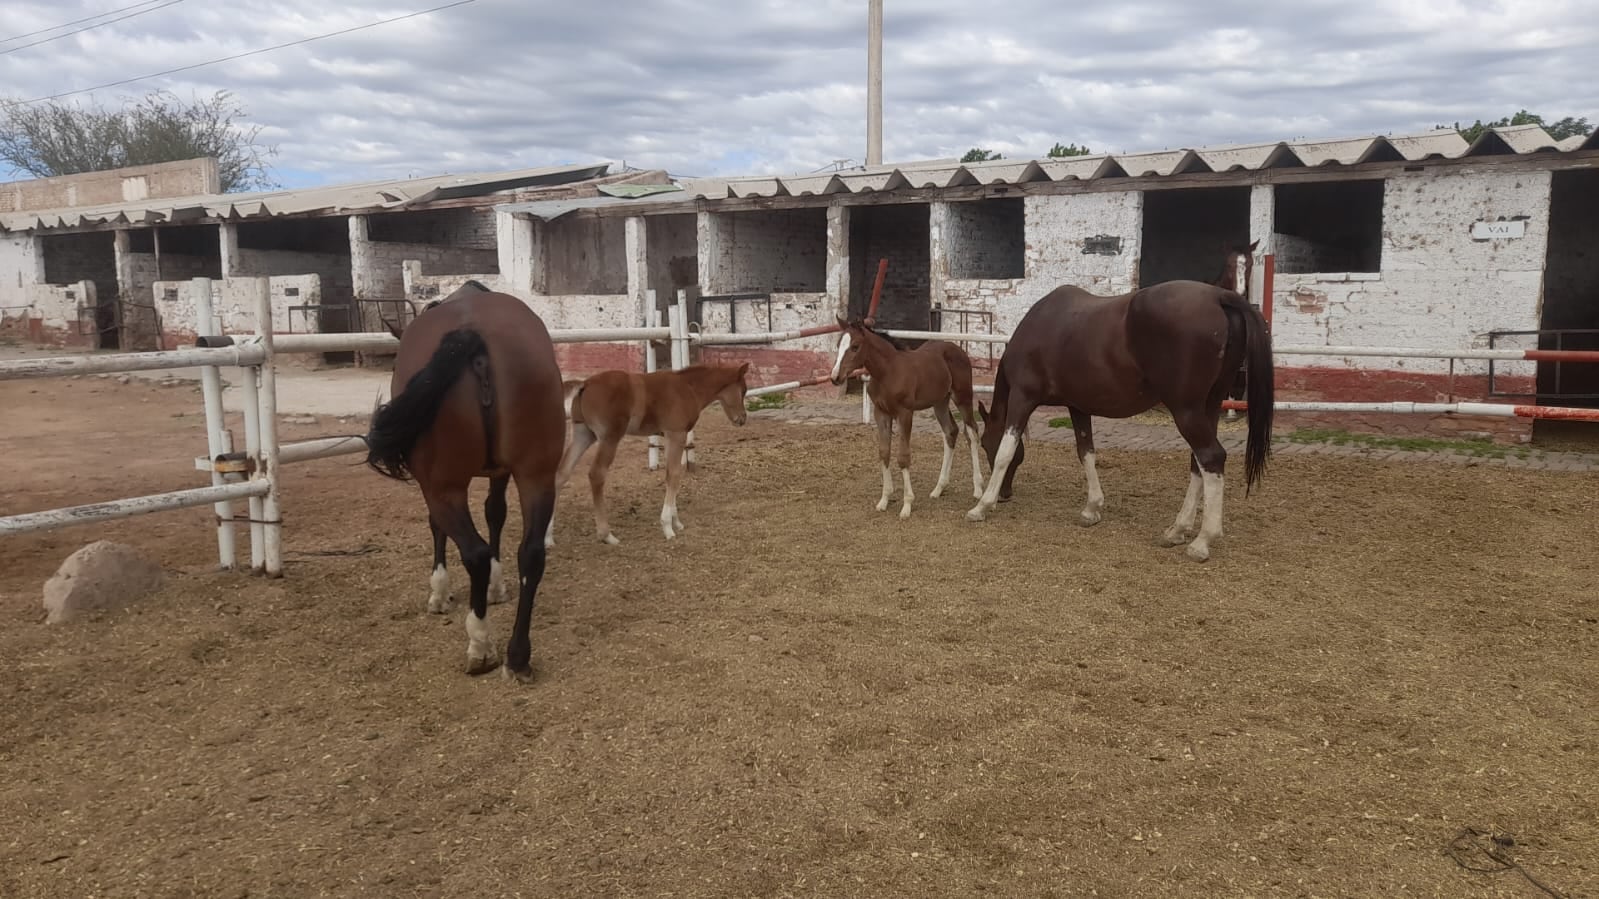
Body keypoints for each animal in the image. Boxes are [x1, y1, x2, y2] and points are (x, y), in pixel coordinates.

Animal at [366, 283, 566, 675]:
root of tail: (473, 337)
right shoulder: (502, 472)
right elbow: (495, 513)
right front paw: (497, 587)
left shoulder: (435, 486)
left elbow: (438, 526)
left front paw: (439, 592)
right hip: (536, 475)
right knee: (531, 553)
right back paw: (517, 655)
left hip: (444, 487)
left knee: (474, 553)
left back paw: (481, 644)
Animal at [550, 359, 748, 543]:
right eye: (744, 390)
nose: (742, 418)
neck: (688, 388)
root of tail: (585, 384)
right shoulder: (676, 434)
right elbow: (674, 475)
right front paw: (668, 527)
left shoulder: (670, 437)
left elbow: (672, 473)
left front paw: (676, 522)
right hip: (609, 438)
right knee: (596, 475)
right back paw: (607, 535)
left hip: (583, 434)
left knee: (561, 474)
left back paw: (548, 537)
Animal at [831, 315, 978, 518]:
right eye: (838, 345)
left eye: (855, 346)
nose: (835, 377)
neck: (887, 372)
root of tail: (957, 349)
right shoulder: (881, 413)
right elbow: (884, 453)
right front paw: (884, 500)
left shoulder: (905, 413)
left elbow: (903, 456)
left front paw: (907, 504)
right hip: (940, 402)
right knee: (951, 431)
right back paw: (938, 489)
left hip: (963, 397)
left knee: (971, 432)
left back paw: (978, 489)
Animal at [965, 279, 1279, 559]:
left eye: (985, 444)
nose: (1005, 494)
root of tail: (1219, 296)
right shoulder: (1078, 407)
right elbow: (1086, 452)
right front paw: (1092, 508)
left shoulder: (1022, 398)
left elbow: (1006, 451)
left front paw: (982, 506)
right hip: (1208, 407)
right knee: (1198, 463)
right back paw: (1177, 530)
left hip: (1186, 410)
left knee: (1211, 457)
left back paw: (1202, 541)